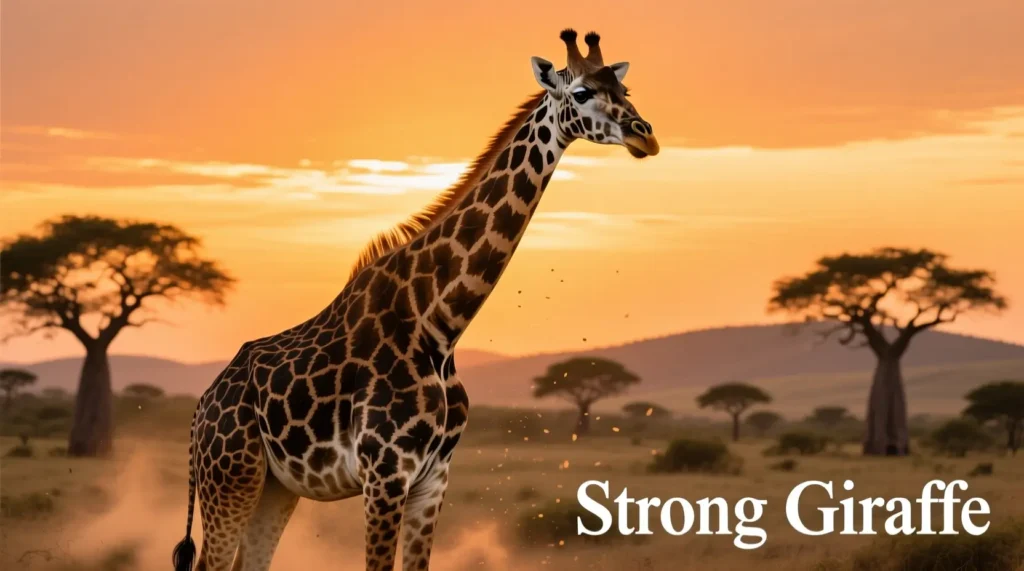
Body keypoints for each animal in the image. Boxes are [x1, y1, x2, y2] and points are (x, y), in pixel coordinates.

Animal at [172, 28, 659, 571]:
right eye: (581, 92)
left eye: (624, 90)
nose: (645, 135)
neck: (439, 323)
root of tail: (200, 411)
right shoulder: (385, 475)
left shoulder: (432, 479)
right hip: (230, 478)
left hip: (275, 486)